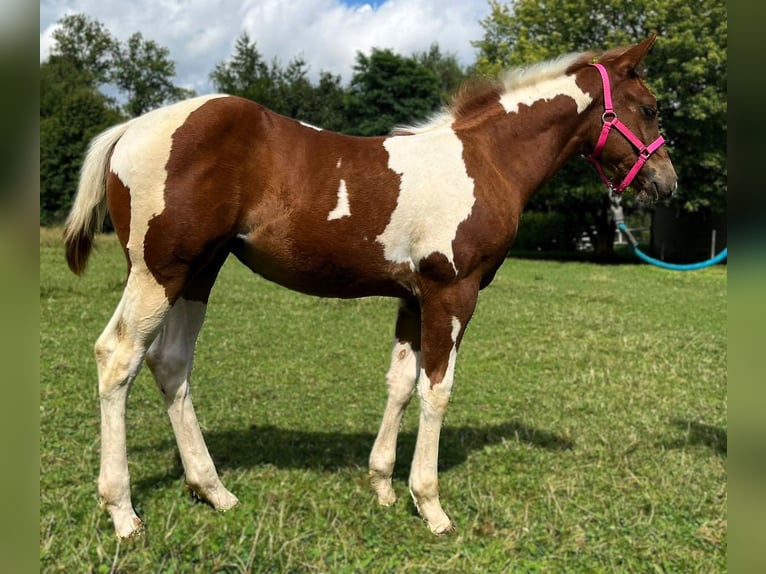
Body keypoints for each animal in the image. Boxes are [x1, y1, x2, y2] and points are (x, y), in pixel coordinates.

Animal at [64, 35, 680, 540]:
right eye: (649, 108)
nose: (666, 183)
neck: (484, 160)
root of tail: (130, 128)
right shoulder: (452, 294)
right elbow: (437, 390)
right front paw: (430, 506)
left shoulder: (413, 297)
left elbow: (400, 384)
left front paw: (383, 484)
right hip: (159, 273)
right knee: (117, 357)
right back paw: (123, 513)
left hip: (198, 272)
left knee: (170, 363)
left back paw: (213, 491)